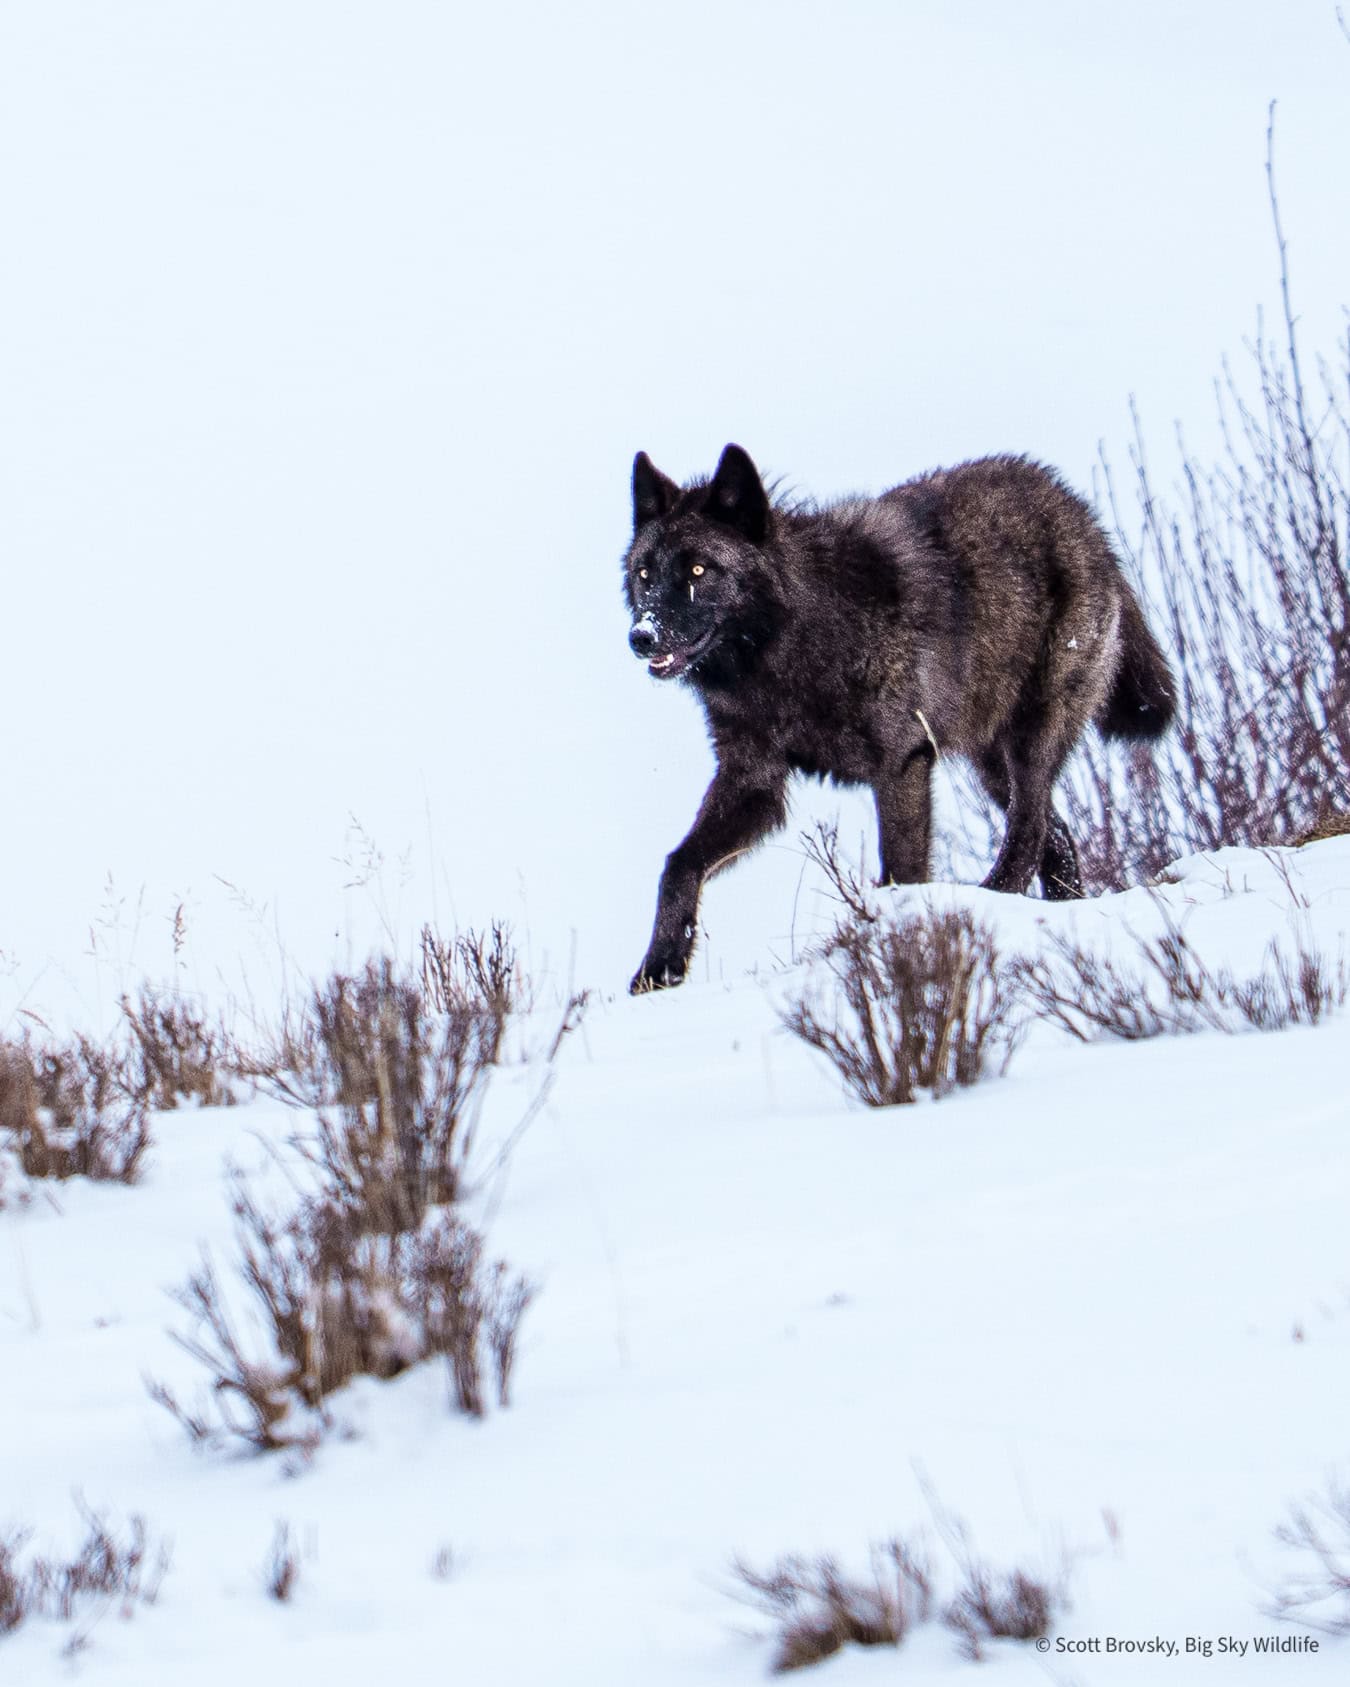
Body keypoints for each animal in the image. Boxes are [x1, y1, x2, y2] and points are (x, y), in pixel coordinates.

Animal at [622, 444, 1175, 993]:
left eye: (698, 571)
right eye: (644, 574)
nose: (641, 637)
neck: (790, 645)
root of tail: (1079, 512)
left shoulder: (902, 765)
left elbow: (901, 870)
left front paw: (903, 947)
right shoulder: (752, 780)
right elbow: (680, 864)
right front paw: (659, 967)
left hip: (1030, 739)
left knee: (1030, 826)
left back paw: (993, 898)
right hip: (991, 763)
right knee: (1055, 833)